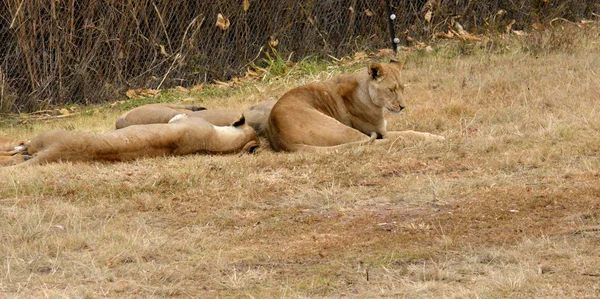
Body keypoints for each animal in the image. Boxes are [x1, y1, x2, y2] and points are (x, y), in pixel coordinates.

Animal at [268, 60, 446, 152]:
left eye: (403, 88)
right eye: (391, 90)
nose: (403, 107)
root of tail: (280, 138)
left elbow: (414, 131)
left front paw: (435, 136)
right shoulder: (381, 131)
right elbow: (410, 133)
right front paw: (435, 138)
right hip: (339, 127)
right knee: (371, 143)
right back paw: (400, 141)